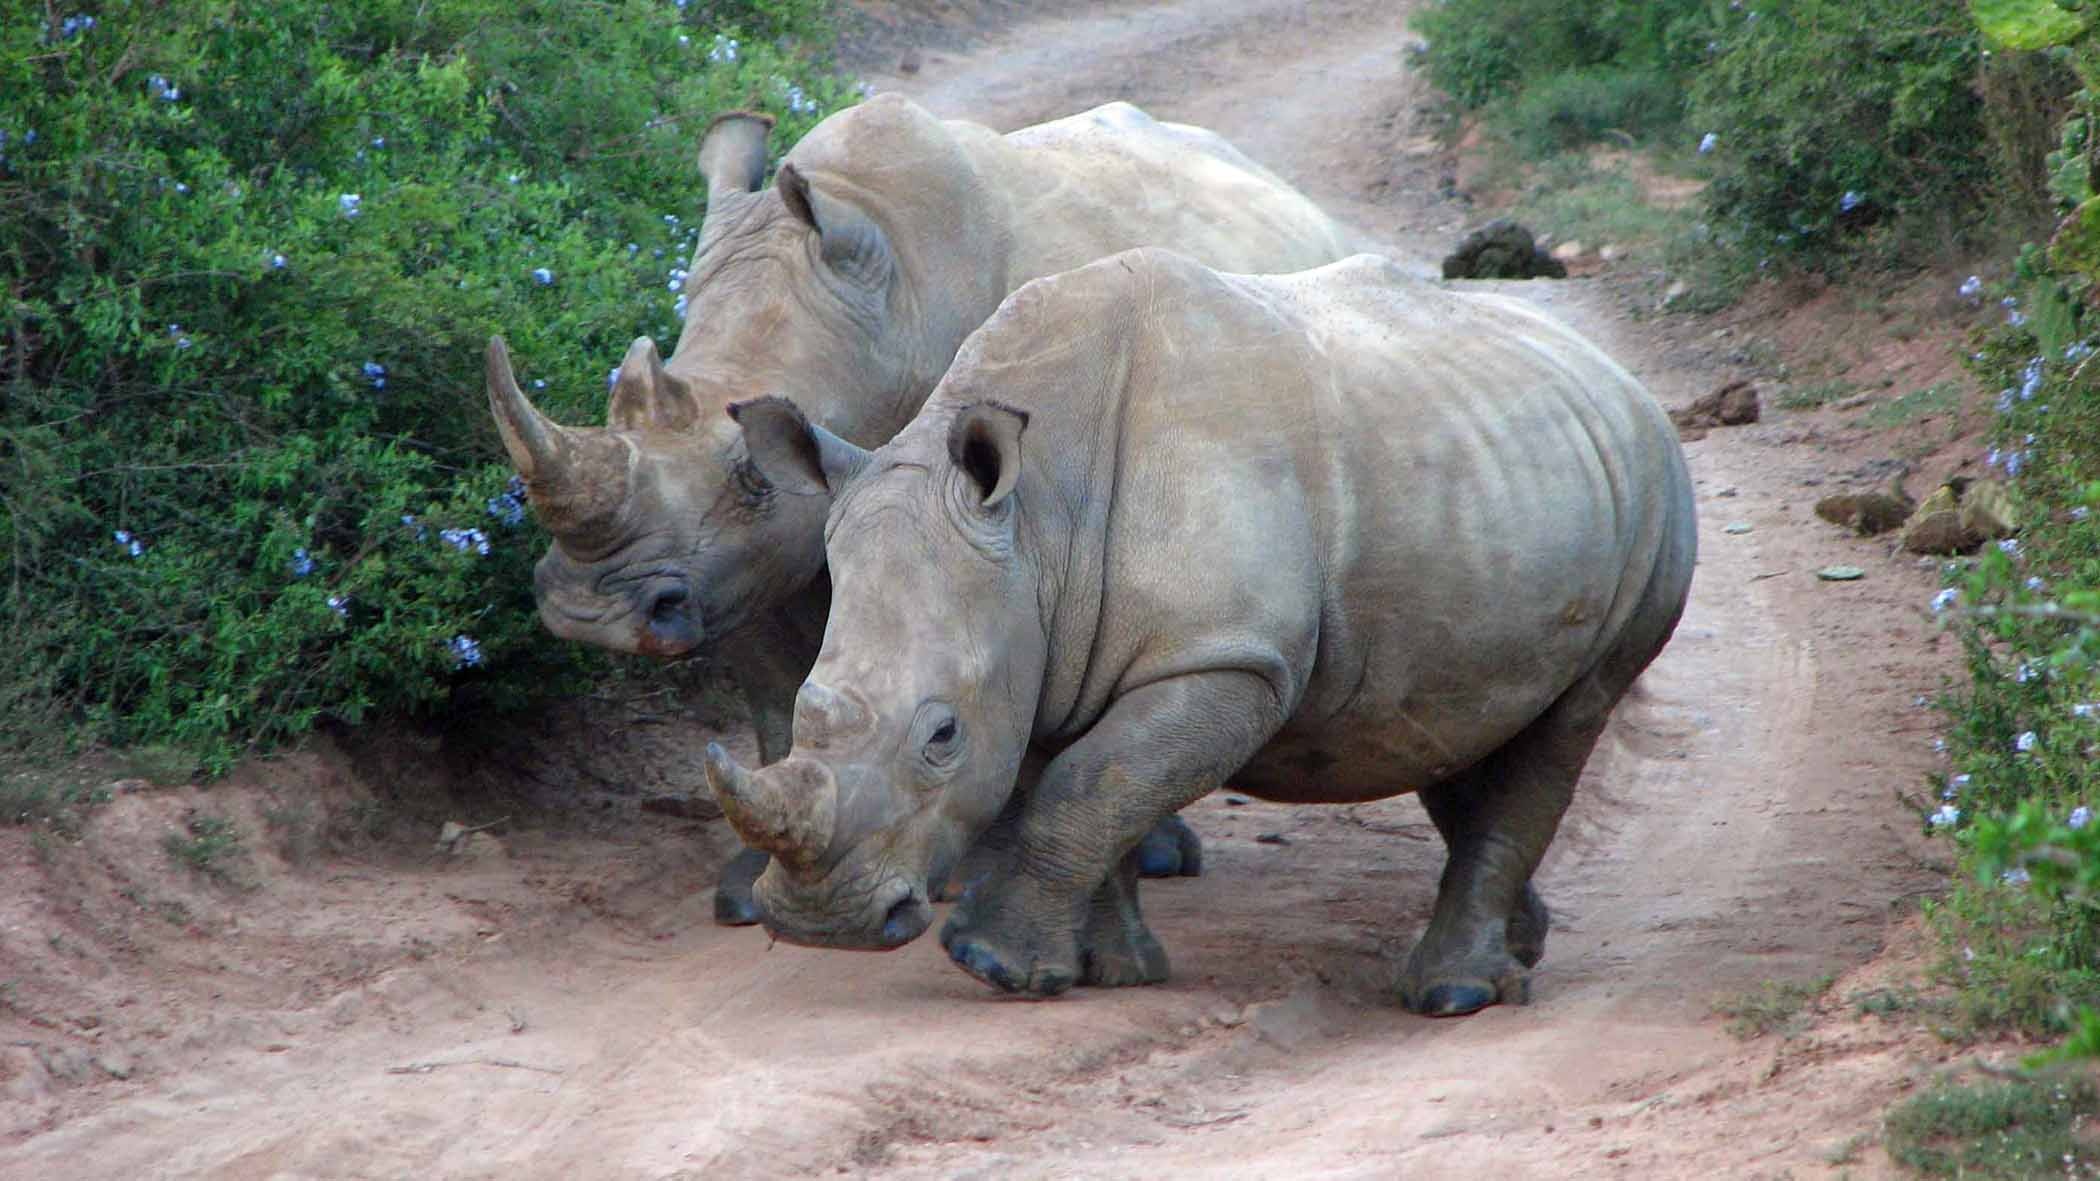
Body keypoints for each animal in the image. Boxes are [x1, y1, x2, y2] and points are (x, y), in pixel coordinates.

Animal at [484, 95, 1352, 924]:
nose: (587, 612)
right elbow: (777, 690)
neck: (893, 312)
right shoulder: (737, 563)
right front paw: (747, 889)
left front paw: (961, 871)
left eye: (750, 474)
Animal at [702, 248, 1697, 1015]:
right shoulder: (1040, 641)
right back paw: (1521, 947)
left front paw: (994, 964)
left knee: (1572, 716)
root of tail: (1622, 379)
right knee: (1461, 725)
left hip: (1660, 503)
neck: (1039, 521)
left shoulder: (1227, 659)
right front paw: (1100, 971)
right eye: (803, 708)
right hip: (1501, 483)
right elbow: (1077, 784)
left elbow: (1088, 784)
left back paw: (1453, 995)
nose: (821, 922)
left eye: (941, 735)